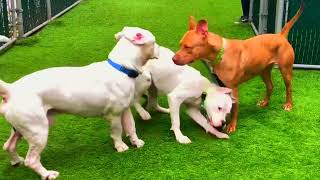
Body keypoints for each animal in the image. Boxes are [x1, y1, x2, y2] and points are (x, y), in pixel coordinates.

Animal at [0, 27, 159, 180]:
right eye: (154, 42)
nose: (159, 48)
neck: (121, 68)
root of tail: (11, 89)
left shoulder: (125, 110)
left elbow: (131, 127)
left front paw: (136, 142)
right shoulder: (114, 115)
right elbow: (117, 131)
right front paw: (120, 146)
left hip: (22, 129)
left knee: (8, 146)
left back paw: (16, 161)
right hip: (38, 132)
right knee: (31, 160)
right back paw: (47, 174)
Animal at [171, 3, 304, 133]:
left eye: (188, 47)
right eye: (180, 45)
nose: (173, 59)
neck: (220, 54)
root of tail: (280, 35)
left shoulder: (233, 88)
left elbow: (234, 108)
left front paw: (232, 125)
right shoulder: (221, 85)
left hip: (285, 70)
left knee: (289, 88)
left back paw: (288, 104)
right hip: (263, 71)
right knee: (270, 86)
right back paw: (265, 102)